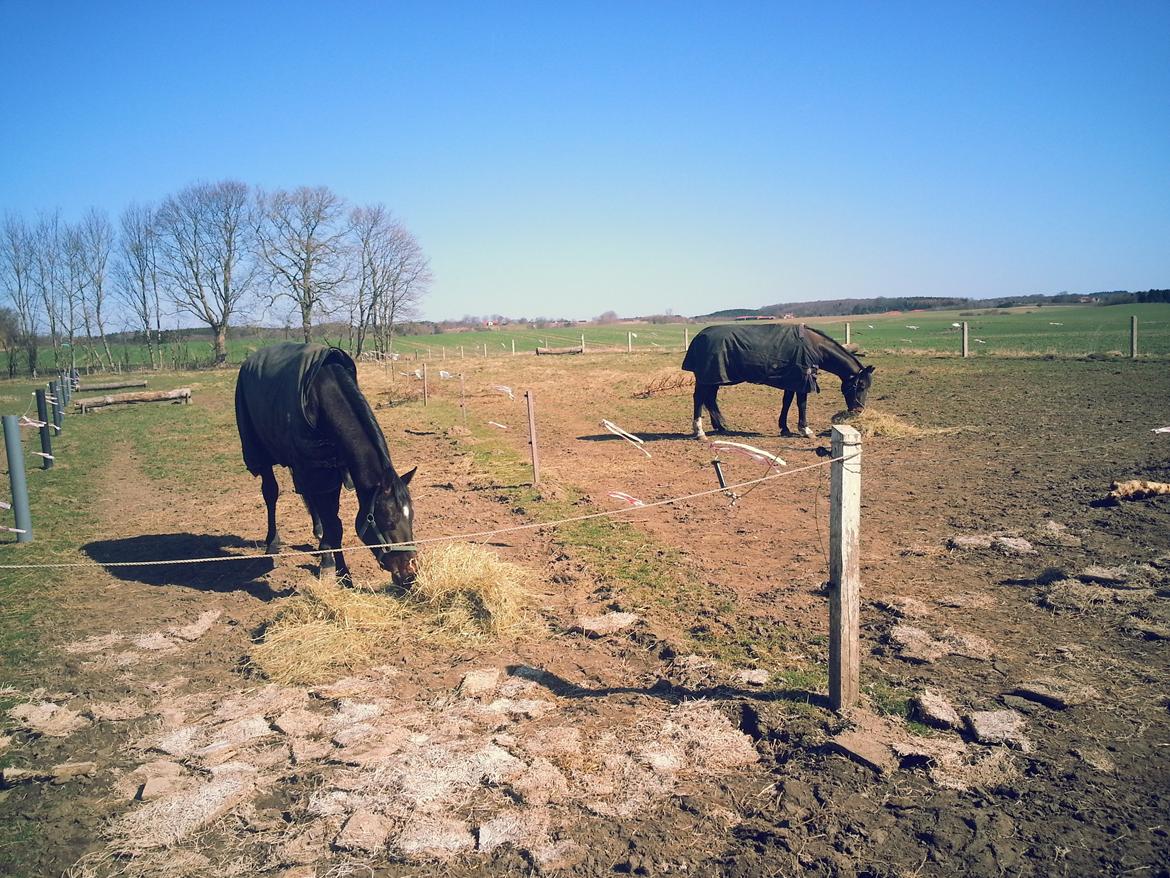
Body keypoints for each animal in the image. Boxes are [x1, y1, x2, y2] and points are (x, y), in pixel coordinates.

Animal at [235, 344, 418, 585]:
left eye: (411, 517)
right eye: (388, 520)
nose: (410, 573)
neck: (320, 396)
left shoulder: (333, 469)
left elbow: (331, 517)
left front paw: (327, 553)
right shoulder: (316, 468)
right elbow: (335, 524)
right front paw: (339, 572)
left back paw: (318, 533)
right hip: (262, 455)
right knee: (271, 493)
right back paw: (272, 543)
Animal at [683, 323, 875, 440]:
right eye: (861, 386)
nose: (859, 410)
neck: (813, 346)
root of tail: (699, 337)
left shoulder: (792, 380)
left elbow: (787, 402)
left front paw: (785, 428)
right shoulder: (802, 381)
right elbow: (801, 404)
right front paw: (805, 430)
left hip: (715, 378)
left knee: (710, 399)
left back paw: (721, 426)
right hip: (707, 379)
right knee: (699, 398)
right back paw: (699, 431)